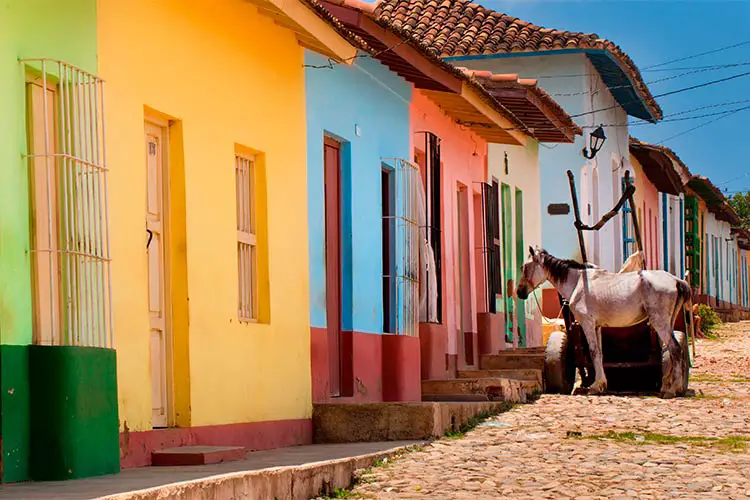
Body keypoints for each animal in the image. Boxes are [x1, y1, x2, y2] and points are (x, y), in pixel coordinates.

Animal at [516, 246, 692, 398]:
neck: (578, 282)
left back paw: (674, 389)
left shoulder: (586, 323)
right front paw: (601, 384)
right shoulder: (597, 326)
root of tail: (676, 280)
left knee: (675, 349)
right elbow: (599, 353)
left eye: (525, 267)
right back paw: (667, 386)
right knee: (670, 350)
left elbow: (593, 351)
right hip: (666, 323)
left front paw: (594, 386)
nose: (519, 292)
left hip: (659, 323)